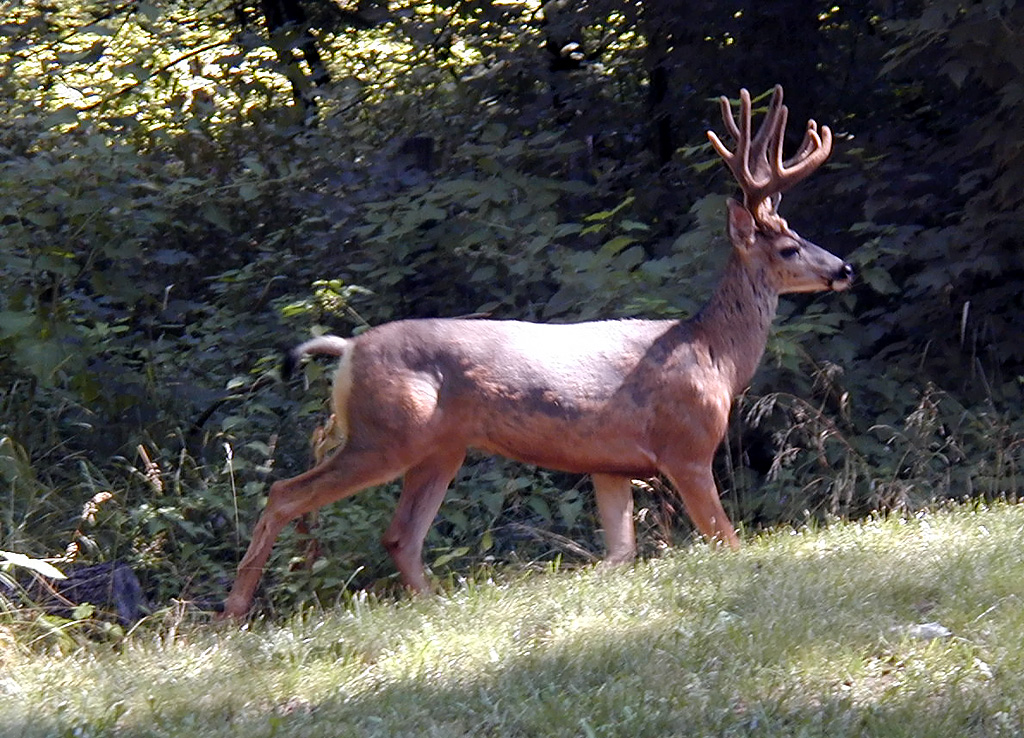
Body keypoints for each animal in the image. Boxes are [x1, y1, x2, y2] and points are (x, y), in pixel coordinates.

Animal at [221, 85, 854, 618]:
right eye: (790, 247)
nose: (844, 268)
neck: (715, 355)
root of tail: (349, 349)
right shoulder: (687, 446)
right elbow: (727, 539)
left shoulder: (610, 464)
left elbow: (619, 554)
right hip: (385, 434)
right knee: (285, 493)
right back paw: (232, 615)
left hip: (439, 447)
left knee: (398, 534)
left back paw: (436, 606)